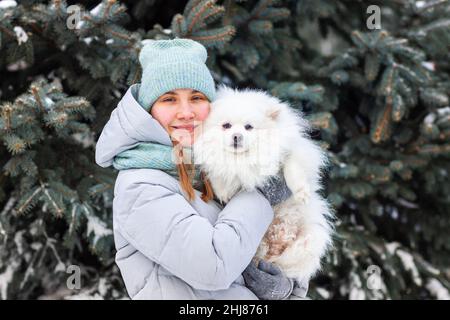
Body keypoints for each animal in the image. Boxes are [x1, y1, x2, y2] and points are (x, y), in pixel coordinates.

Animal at [193, 85, 334, 282]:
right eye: (226, 125)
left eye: (248, 127)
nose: (237, 136)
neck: (243, 158)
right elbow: (220, 171)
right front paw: (223, 190)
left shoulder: (290, 152)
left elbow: (292, 169)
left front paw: (301, 192)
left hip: (309, 237)